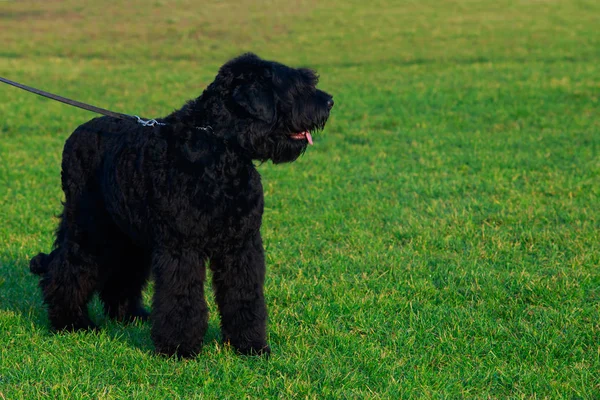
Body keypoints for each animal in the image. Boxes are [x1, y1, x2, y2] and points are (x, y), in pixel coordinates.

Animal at [29, 52, 332, 356]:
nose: (329, 101)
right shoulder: (181, 246)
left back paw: (130, 315)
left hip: (129, 236)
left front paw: (250, 345)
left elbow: (244, 294)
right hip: (89, 227)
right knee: (68, 268)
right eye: (294, 87)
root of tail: (77, 135)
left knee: (123, 272)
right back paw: (71, 322)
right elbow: (182, 296)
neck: (220, 150)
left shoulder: (241, 245)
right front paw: (179, 348)